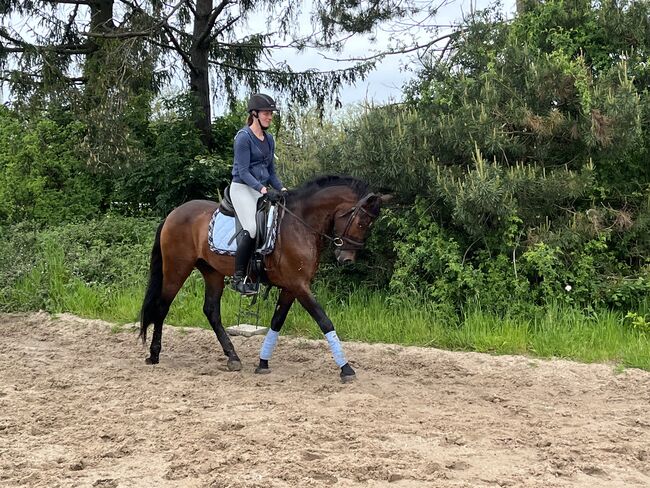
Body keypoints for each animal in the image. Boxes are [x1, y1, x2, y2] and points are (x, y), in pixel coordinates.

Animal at [138, 175, 390, 382]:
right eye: (361, 222)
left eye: (368, 225)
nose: (346, 259)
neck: (300, 223)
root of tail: (173, 213)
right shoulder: (300, 286)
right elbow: (324, 321)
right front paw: (346, 368)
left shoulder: (291, 287)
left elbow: (277, 321)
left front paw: (263, 362)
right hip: (177, 268)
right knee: (162, 306)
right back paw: (154, 354)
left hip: (212, 272)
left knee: (211, 311)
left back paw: (232, 357)